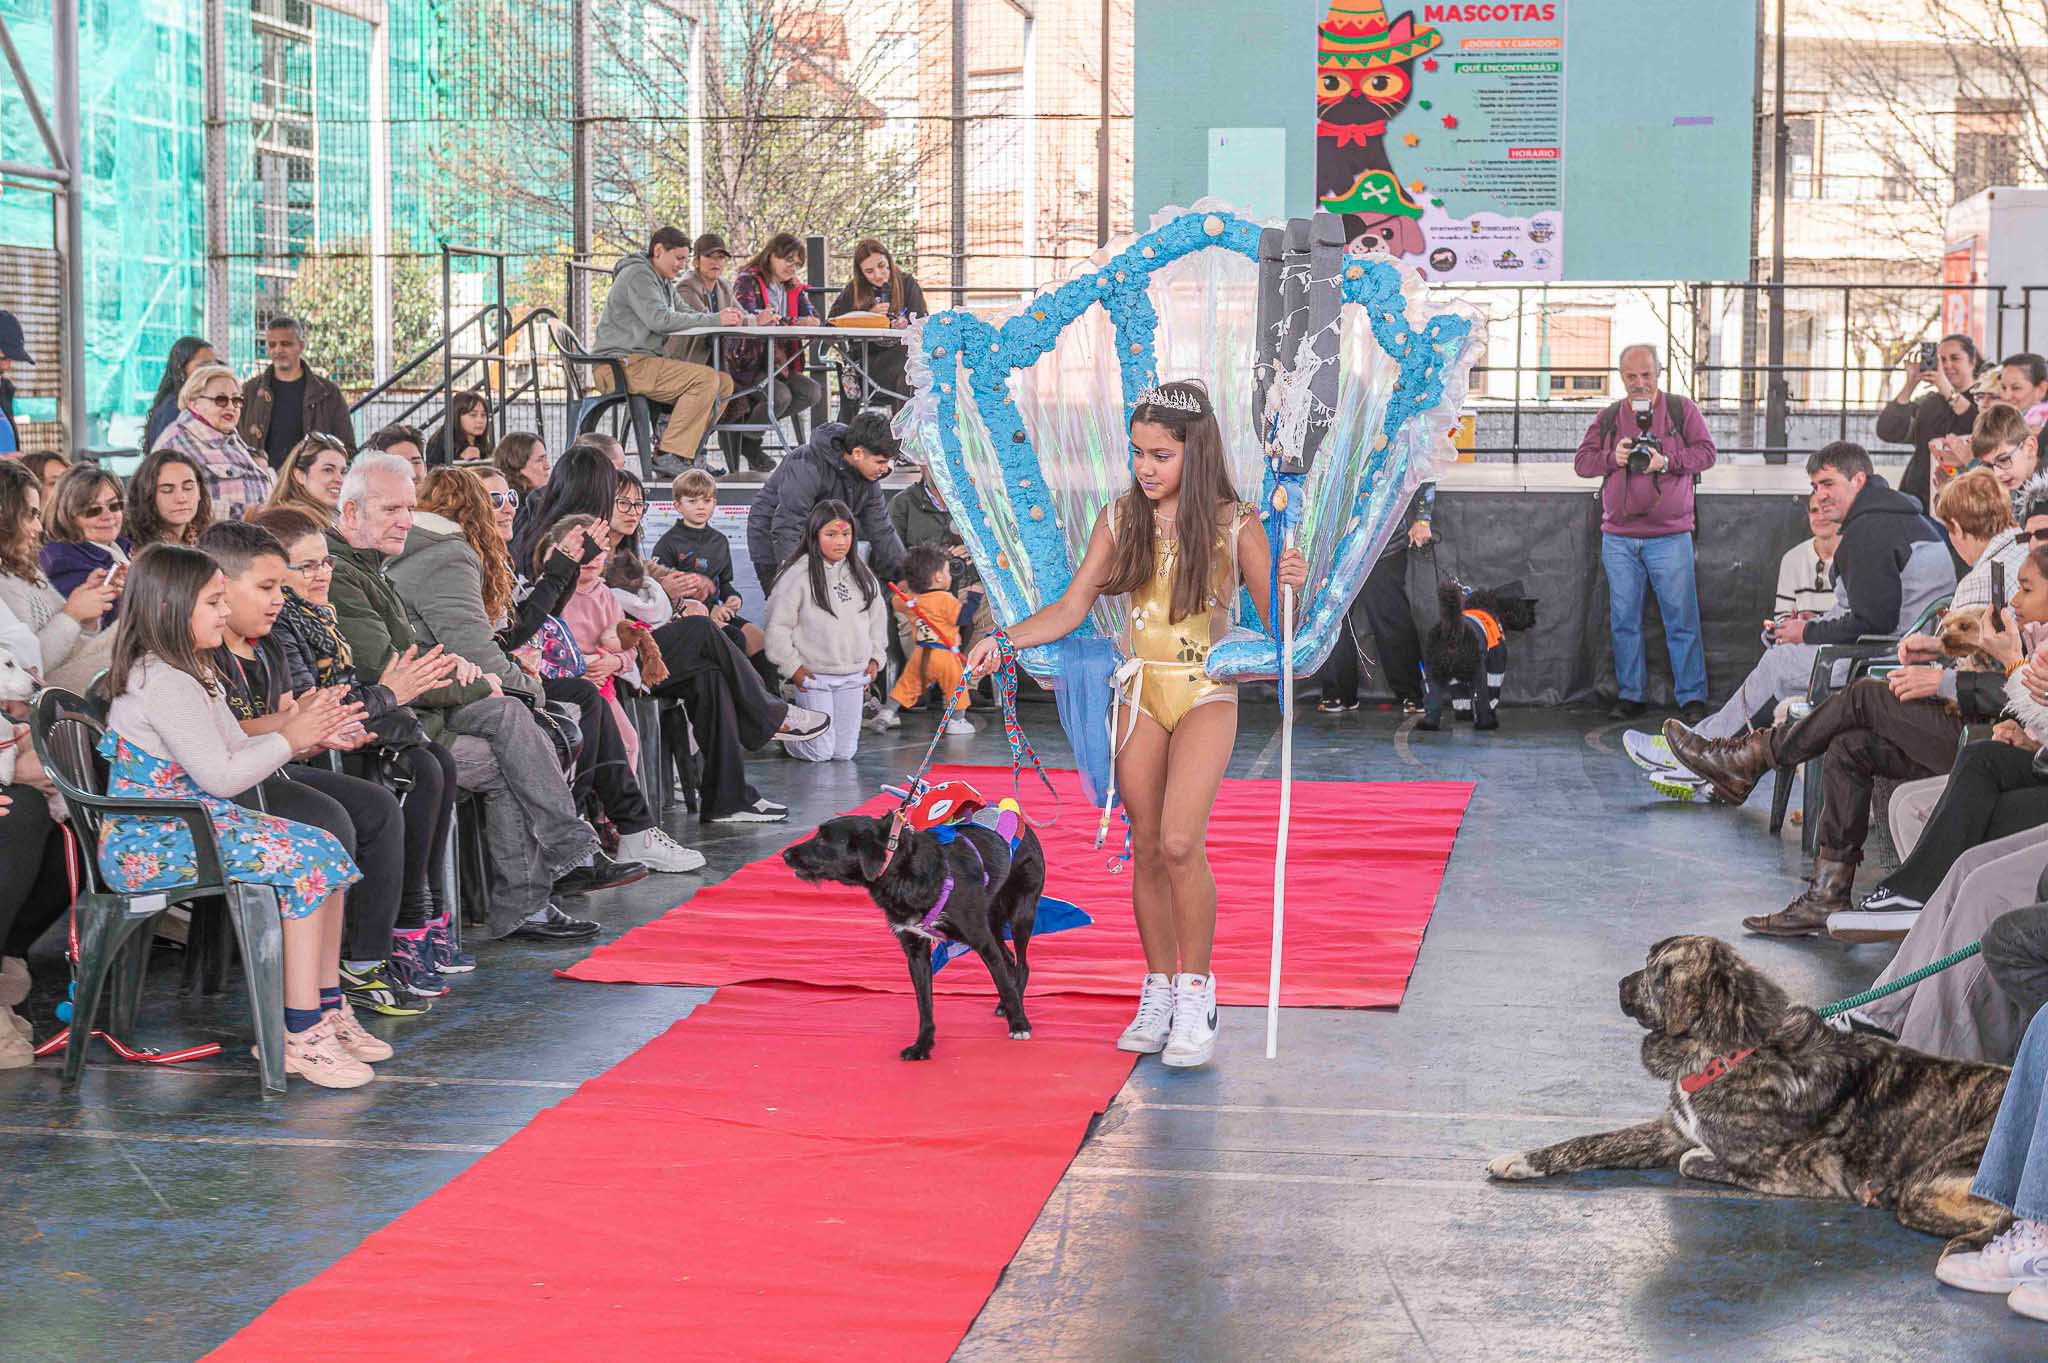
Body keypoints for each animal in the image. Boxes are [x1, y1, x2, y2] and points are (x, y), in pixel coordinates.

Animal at [778, 810, 1048, 1056]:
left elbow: (1002, 981)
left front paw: (1019, 1024)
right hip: (992, 920)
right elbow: (924, 1003)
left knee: (1021, 964)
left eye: (824, 839)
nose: (785, 854)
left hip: (1020, 914)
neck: (903, 872)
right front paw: (922, 1045)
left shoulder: (981, 939)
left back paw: (1015, 1007)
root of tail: (1023, 823)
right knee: (1008, 960)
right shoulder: (915, 950)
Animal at [1425, 573, 1540, 728]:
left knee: (1433, 698)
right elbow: (1492, 692)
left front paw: (1464, 716)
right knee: (1483, 699)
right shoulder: (1496, 663)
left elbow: (1462, 697)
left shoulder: (1458, 680)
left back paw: (1428, 724)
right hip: (1478, 672)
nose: (1534, 620)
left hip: (1433, 672)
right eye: (1526, 607)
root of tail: (1452, 631)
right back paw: (1488, 723)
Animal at [1490, 933, 2015, 1244]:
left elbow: (1692, 1161)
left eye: (1660, 974)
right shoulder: (1672, 1130)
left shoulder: (1802, 1171)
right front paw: (1523, 1159)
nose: (1620, 983)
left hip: (1929, 1183)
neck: (1729, 1050)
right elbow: (1590, 1142)